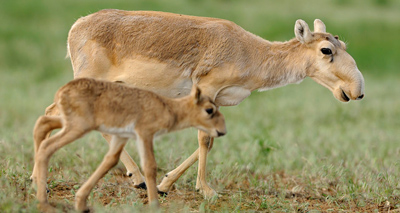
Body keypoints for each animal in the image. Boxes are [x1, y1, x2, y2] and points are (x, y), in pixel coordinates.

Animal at [30, 78, 227, 211]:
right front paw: (154, 204)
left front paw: (81, 202)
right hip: (77, 127)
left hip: (69, 124)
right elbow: (150, 166)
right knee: (47, 146)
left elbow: (110, 161)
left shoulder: (122, 137)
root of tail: (63, 90)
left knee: (42, 123)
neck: (168, 107)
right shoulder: (145, 134)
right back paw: (43, 201)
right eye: (209, 110)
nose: (222, 131)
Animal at [44, 8, 366, 198]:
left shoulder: (218, 99)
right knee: (56, 112)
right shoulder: (207, 89)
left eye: (342, 44)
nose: (357, 90)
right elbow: (204, 139)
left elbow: (211, 139)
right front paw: (206, 190)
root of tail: (76, 26)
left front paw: (165, 183)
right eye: (326, 50)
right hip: (88, 79)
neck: (250, 52)